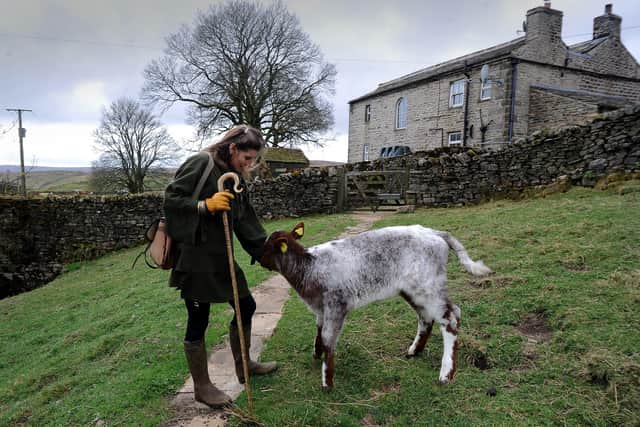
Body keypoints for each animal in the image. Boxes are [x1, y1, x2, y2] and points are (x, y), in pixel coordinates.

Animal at [258, 224, 492, 392]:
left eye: (268, 247)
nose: (257, 259)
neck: (309, 266)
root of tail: (435, 232)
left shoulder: (336, 305)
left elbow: (328, 339)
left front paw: (327, 382)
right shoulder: (320, 308)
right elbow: (319, 332)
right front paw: (316, 354)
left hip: (429, 285)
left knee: (451, 317)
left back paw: (446, 373)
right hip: (413, 289)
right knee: (426, 317)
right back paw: (414, 351)